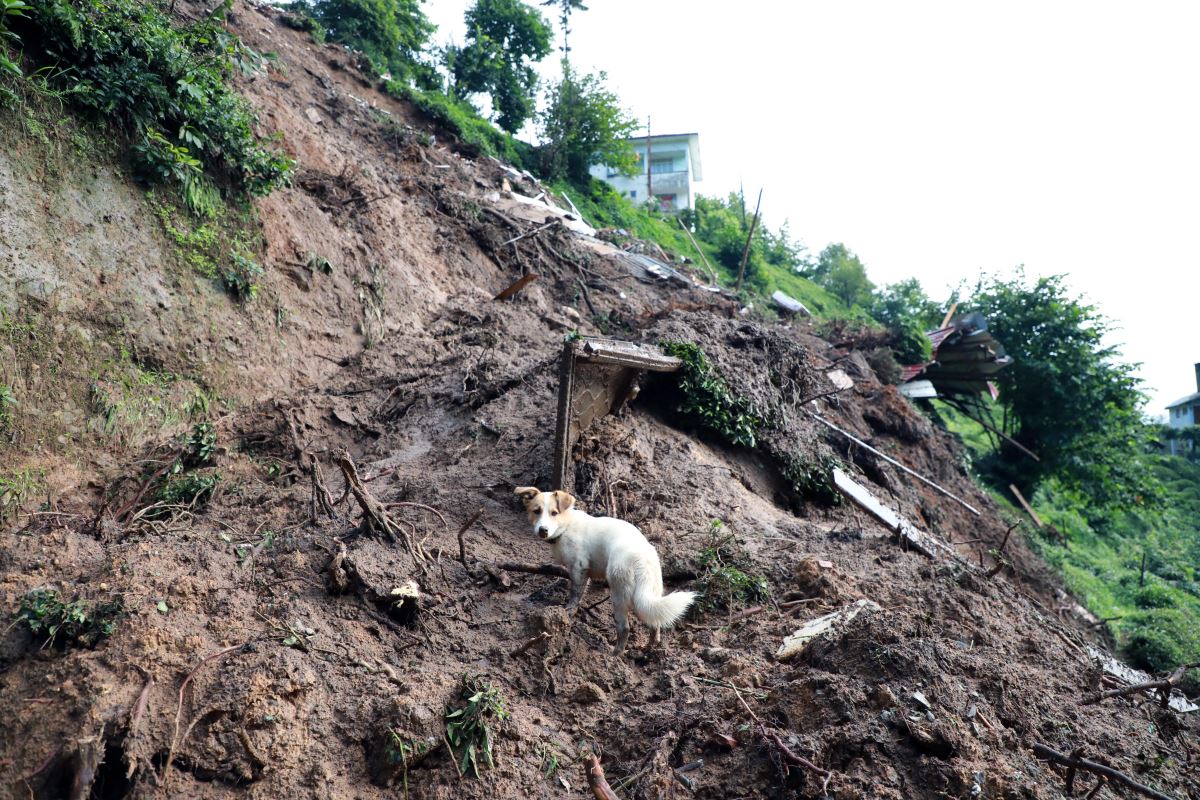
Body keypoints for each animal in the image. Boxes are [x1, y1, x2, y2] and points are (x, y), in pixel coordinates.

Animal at [513, 484, 700, 652]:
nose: (543, 530)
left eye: (554, 513)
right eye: (536, 511)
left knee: (624, 628)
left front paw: (568, 611)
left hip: (618, 593)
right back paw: (647, 648)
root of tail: (642, 559)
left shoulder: (579, 568)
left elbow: (575, 594)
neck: (566, 526)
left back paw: (616, 654)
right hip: (650, 593)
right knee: (654, 623)